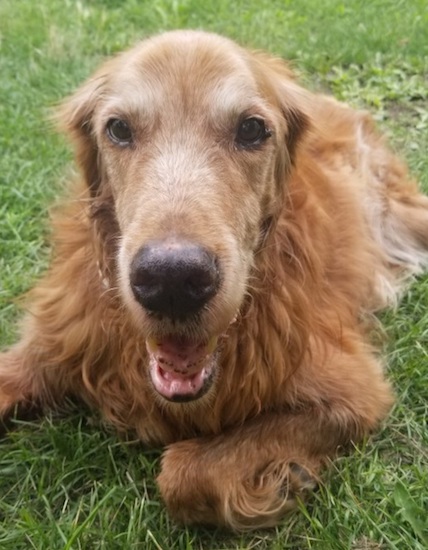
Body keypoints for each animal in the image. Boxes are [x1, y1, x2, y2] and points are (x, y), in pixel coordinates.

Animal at [0, 29, 428, 532]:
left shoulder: (354, 391)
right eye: (119, 129)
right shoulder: (56, 338)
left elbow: (183, 474)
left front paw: (286, 479)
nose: (172, 281)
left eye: (252, 130)